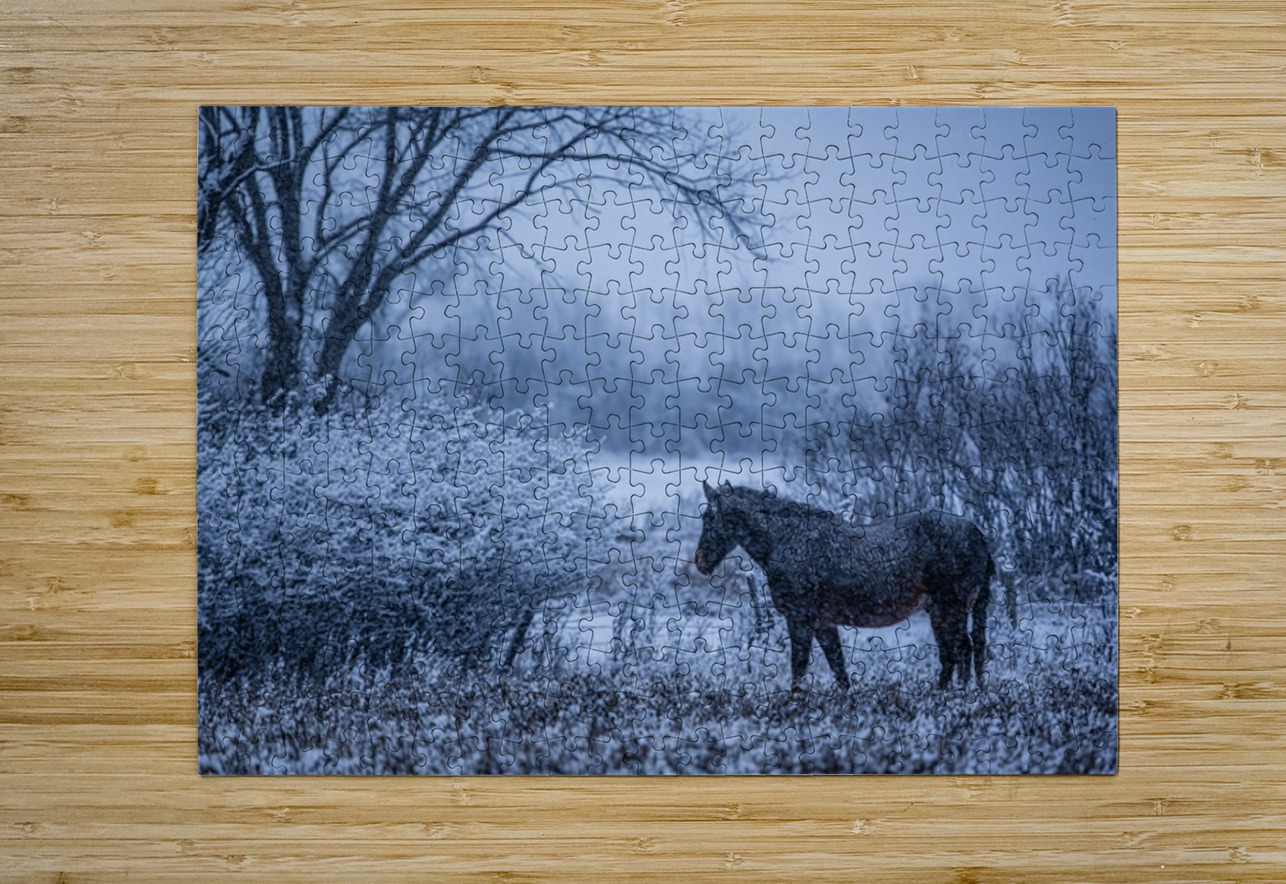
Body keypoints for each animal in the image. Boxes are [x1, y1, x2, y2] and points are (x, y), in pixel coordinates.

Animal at [694, 481, 994, 692]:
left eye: (711, 518)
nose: (700, 562)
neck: (788, 541)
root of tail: (978, 535)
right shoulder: (822, 623)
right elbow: (837, 667)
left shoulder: (799, 619)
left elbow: (799, 665)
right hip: (939, 613)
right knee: (952, 654)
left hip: (952, 609)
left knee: (963, 649)